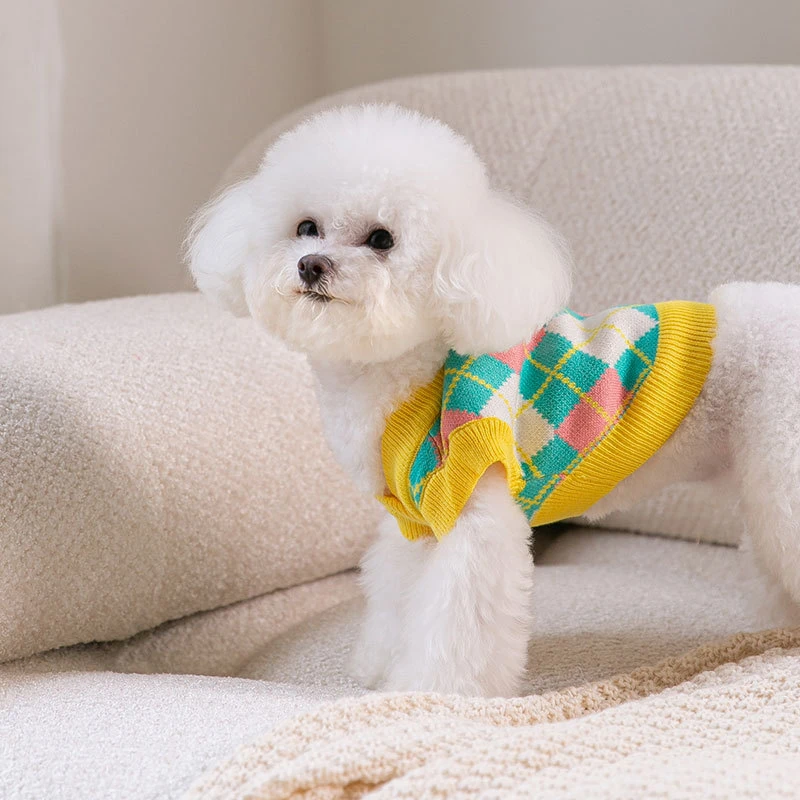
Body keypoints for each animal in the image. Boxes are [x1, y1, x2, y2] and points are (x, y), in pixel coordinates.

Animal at [188, 103, 800, 697]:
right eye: (306, 227)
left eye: (382, 239)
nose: (311, 264)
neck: (410, 372)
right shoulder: (414, 518)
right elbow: (397, 596)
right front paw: (380, 667)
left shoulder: (472, 497)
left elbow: (458, 619)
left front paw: (433, 693)